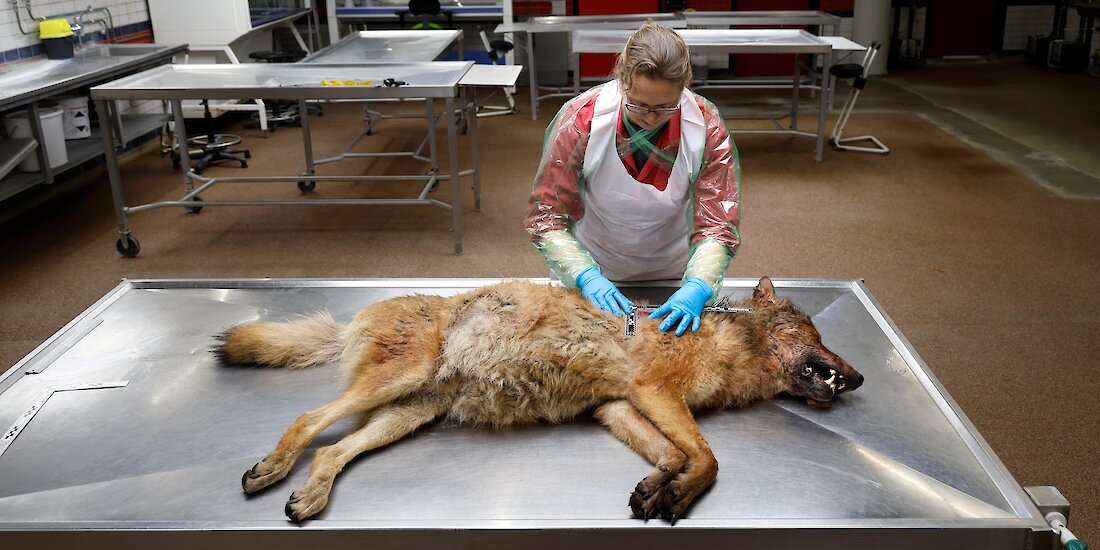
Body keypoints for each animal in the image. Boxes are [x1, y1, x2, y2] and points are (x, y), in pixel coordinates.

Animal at [216, 277, 863, 523]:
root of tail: (357, 315)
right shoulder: (652, 392)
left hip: (407, 414)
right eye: (818, 337)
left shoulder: (616, 407)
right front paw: (678, 494)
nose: (857, 379)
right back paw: (273, 469)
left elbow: (674, 455)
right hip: (397, 383)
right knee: (308, 420)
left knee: (332, 452)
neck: (726, 345)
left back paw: (310, 495)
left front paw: (657, 488)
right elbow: (707, 458)